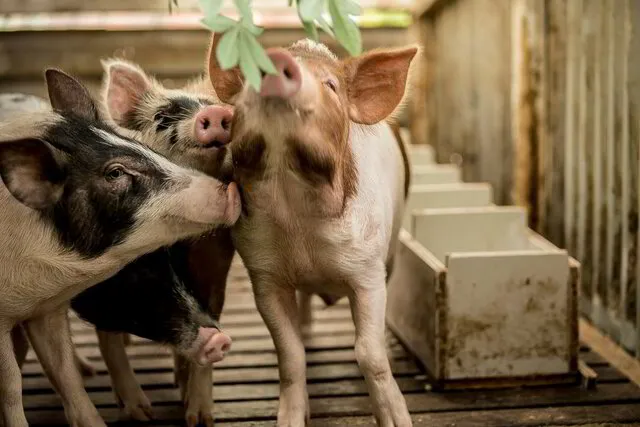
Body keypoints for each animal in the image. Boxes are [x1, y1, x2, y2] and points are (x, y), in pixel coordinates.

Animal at [0, 69, 240, 427]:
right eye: (115, 173)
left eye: (144, 150)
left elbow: (66, 375)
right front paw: (141, 413)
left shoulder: (46, 307)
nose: (221, 339)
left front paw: (198, 418)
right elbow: (13, 385)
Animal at [209, 37, 420, 427]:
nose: (277, 59)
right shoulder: (264, 273)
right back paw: (307, 329)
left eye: (331, 85)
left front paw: (399, 421)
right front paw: (290, 420)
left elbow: (369, 353)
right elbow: (290, 353)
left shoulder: (368, 270)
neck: (297, 215)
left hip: (392, 254)